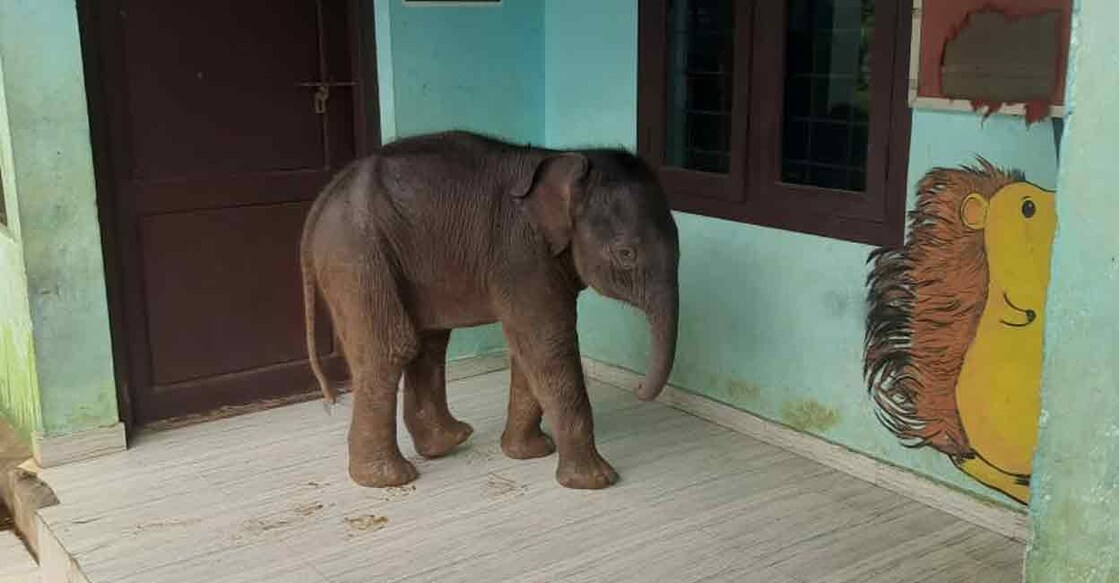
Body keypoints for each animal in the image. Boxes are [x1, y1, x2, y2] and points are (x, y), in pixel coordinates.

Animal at [300, 130, 679, 490]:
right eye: (626, 254)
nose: (638, 389)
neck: (564, 159)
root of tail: (323, 197)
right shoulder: (521, 255)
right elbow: (547, 345)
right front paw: (597, 481)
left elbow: (529, 350)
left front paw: (531, 453)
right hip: (357, 257)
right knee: (392, 348)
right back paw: (390, 478)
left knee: (429, 341)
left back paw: (447, 442)